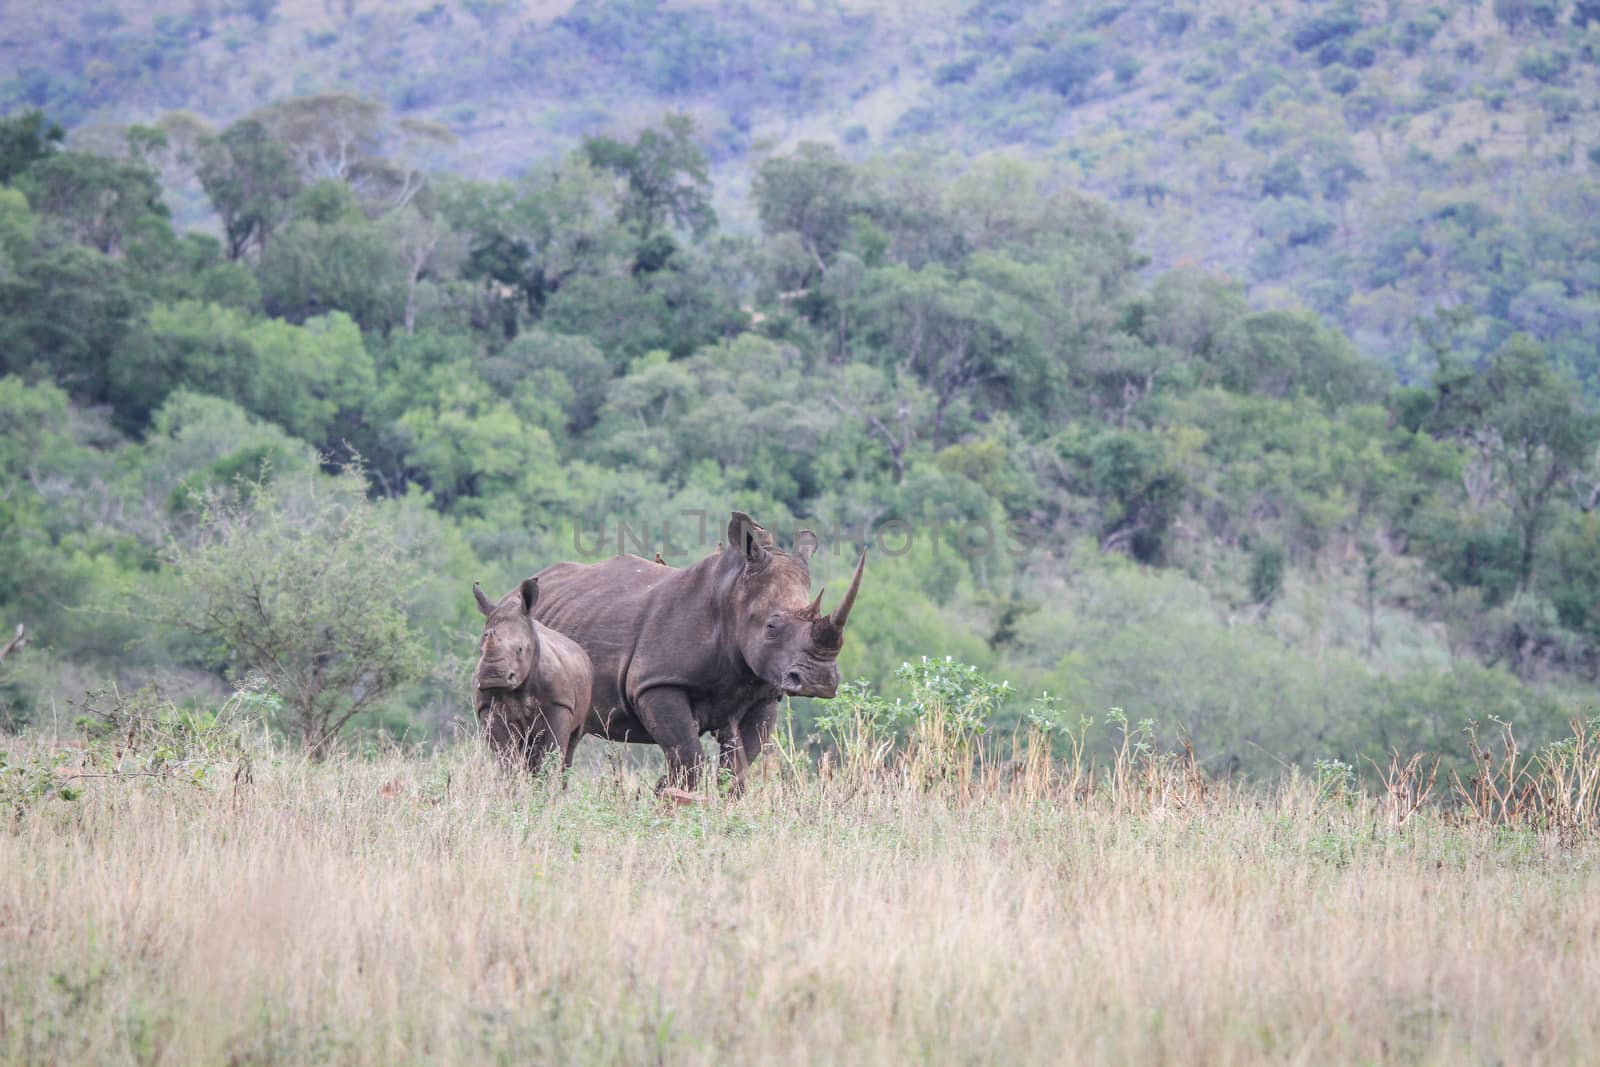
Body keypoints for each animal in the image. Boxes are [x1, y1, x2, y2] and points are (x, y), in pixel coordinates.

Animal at [476, 579, 601, 771]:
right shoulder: (487, 707)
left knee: (572, 742)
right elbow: (506, 753)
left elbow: (552, 750)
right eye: (480, 650)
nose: (492, 678)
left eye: (520, 649)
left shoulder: (560, 704)